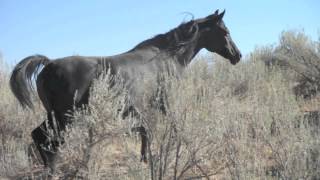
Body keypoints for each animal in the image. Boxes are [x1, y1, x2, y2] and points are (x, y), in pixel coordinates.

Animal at [9, 9, 240, 172]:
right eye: (225, 31)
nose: (237, 55)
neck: (168, 56)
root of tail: (48, 65)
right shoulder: (163, 101)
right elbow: (170, 126)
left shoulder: (142, 106)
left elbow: (145, 130)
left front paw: (145, 159)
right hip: (64, 115)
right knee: (47, 140)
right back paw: (53, 168)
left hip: (55, 114)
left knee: (38, 135)